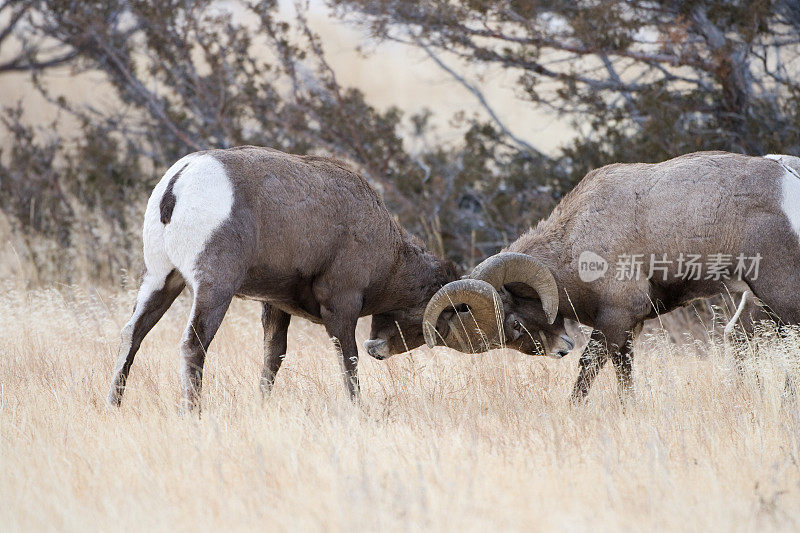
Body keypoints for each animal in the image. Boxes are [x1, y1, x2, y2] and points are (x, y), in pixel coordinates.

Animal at [107, 145, 460, 408]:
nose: (379, 351)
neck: (386, 253)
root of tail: (178, 183)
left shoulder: (274, 305)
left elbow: (272, 357)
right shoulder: (341, 306)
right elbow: (349, 362)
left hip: (161, 280)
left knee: (131, 335)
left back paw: (114, 406)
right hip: (214, 289)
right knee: (193, 345)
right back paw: (193, 413)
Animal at [424, 152, 800, 396]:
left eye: (514, 322)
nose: (560, 349)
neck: (575, 242)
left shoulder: (615, 321)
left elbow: (592, 369)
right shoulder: (628, 328)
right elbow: (618, 374)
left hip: (778, 294)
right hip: (753, 302)